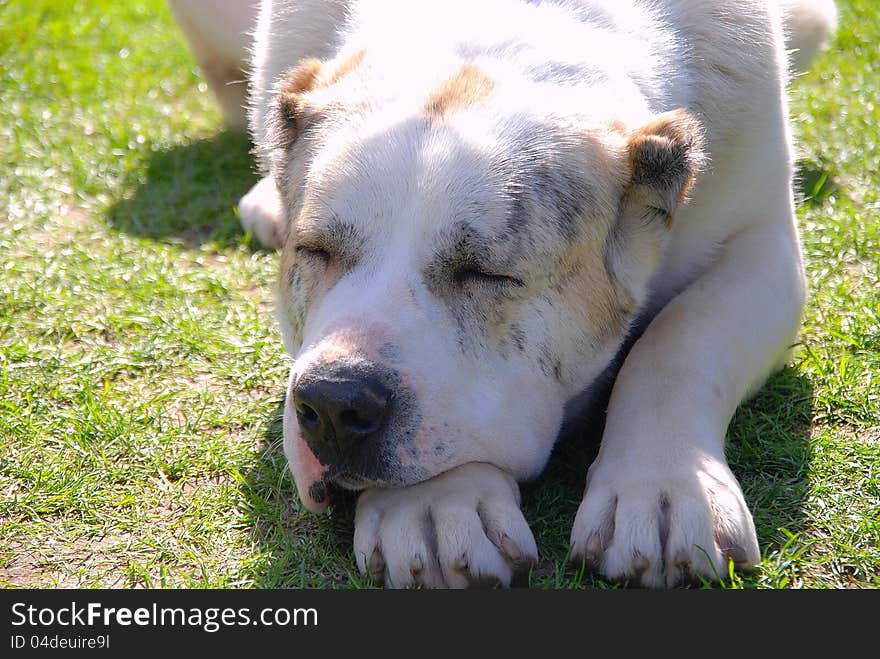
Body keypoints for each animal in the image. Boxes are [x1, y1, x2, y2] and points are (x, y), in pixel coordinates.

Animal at [168, 0, 836, 588]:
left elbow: (681, 339)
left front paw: (663, 485)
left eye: (485, 274)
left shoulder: (764, 247)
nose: (333, 404)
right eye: (315, 252)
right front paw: (437, 504)